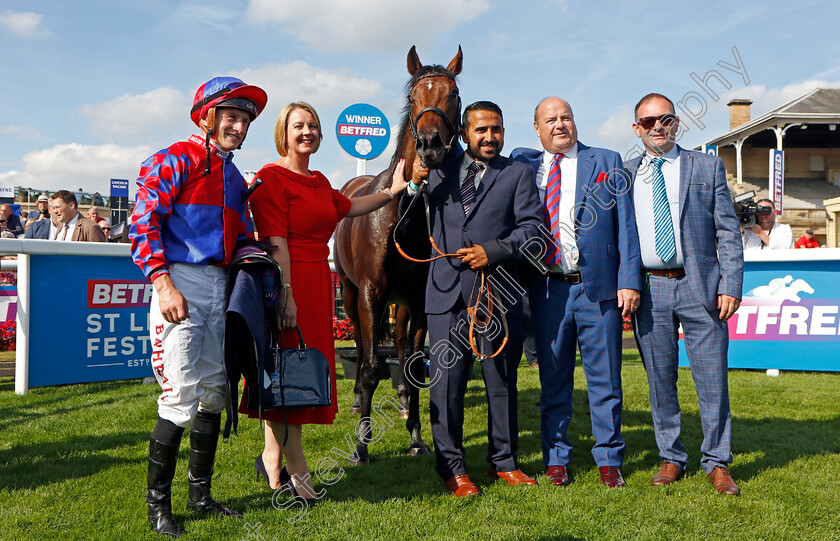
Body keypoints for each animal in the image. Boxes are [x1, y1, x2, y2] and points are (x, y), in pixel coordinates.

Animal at [334, 44, 466, 462]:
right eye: (413, 97)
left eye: (454, 94)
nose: (430, 146)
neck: (402, 213)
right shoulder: (371, 294)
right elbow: (371, 366)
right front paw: (361, 445)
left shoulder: (419, 299)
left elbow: (415, 365)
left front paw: (417, 437)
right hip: (351, 295)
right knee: (363, 352)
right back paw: (357, 402)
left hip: (401, 303)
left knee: (401, 345)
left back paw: (406, 403)